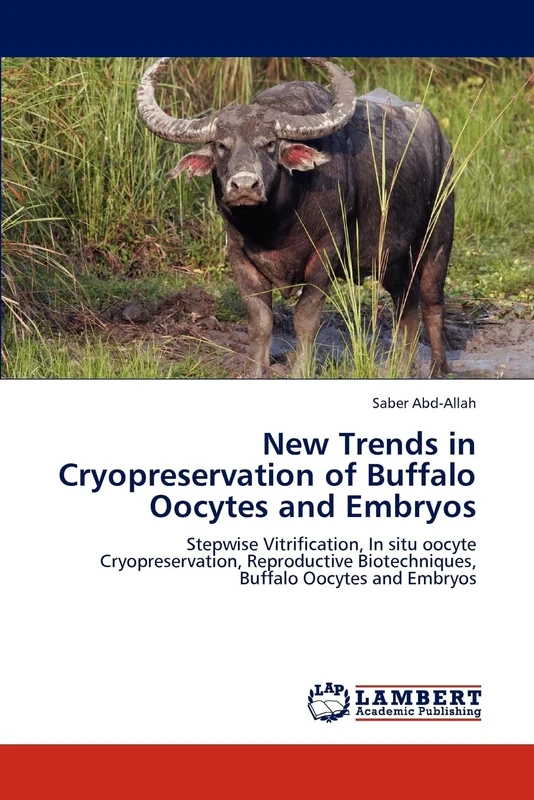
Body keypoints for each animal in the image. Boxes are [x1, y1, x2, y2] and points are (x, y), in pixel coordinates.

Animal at [137, 58, 454, 377]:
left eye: (269, 144)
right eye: (221, 145)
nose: (244, 186)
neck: (275, 226)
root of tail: (442, 142)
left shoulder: (325, 256)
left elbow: (305, 319)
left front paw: (300, 369)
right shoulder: (239, 257)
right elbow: (260, 321)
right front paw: (256, 371)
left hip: (438, 239)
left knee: (431, 301)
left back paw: (439, 367)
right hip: (392, 259)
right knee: (406, 303)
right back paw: (401, 366)